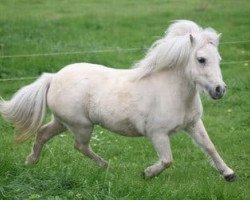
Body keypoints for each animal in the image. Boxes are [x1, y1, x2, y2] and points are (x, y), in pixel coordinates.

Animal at [0, 20, 236, 181]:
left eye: (219, 59)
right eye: (201, 59)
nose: (219, 90)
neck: (173, 93)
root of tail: (53, 77)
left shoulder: (193, 124)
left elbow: (209, 147)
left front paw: (229, 174)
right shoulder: (157, 134)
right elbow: (167, 160)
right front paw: (146, 173)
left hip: (63, 122)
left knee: (43, 133)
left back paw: (31, 162)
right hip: (81, 125)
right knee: (80, 146)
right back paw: (107, 166)